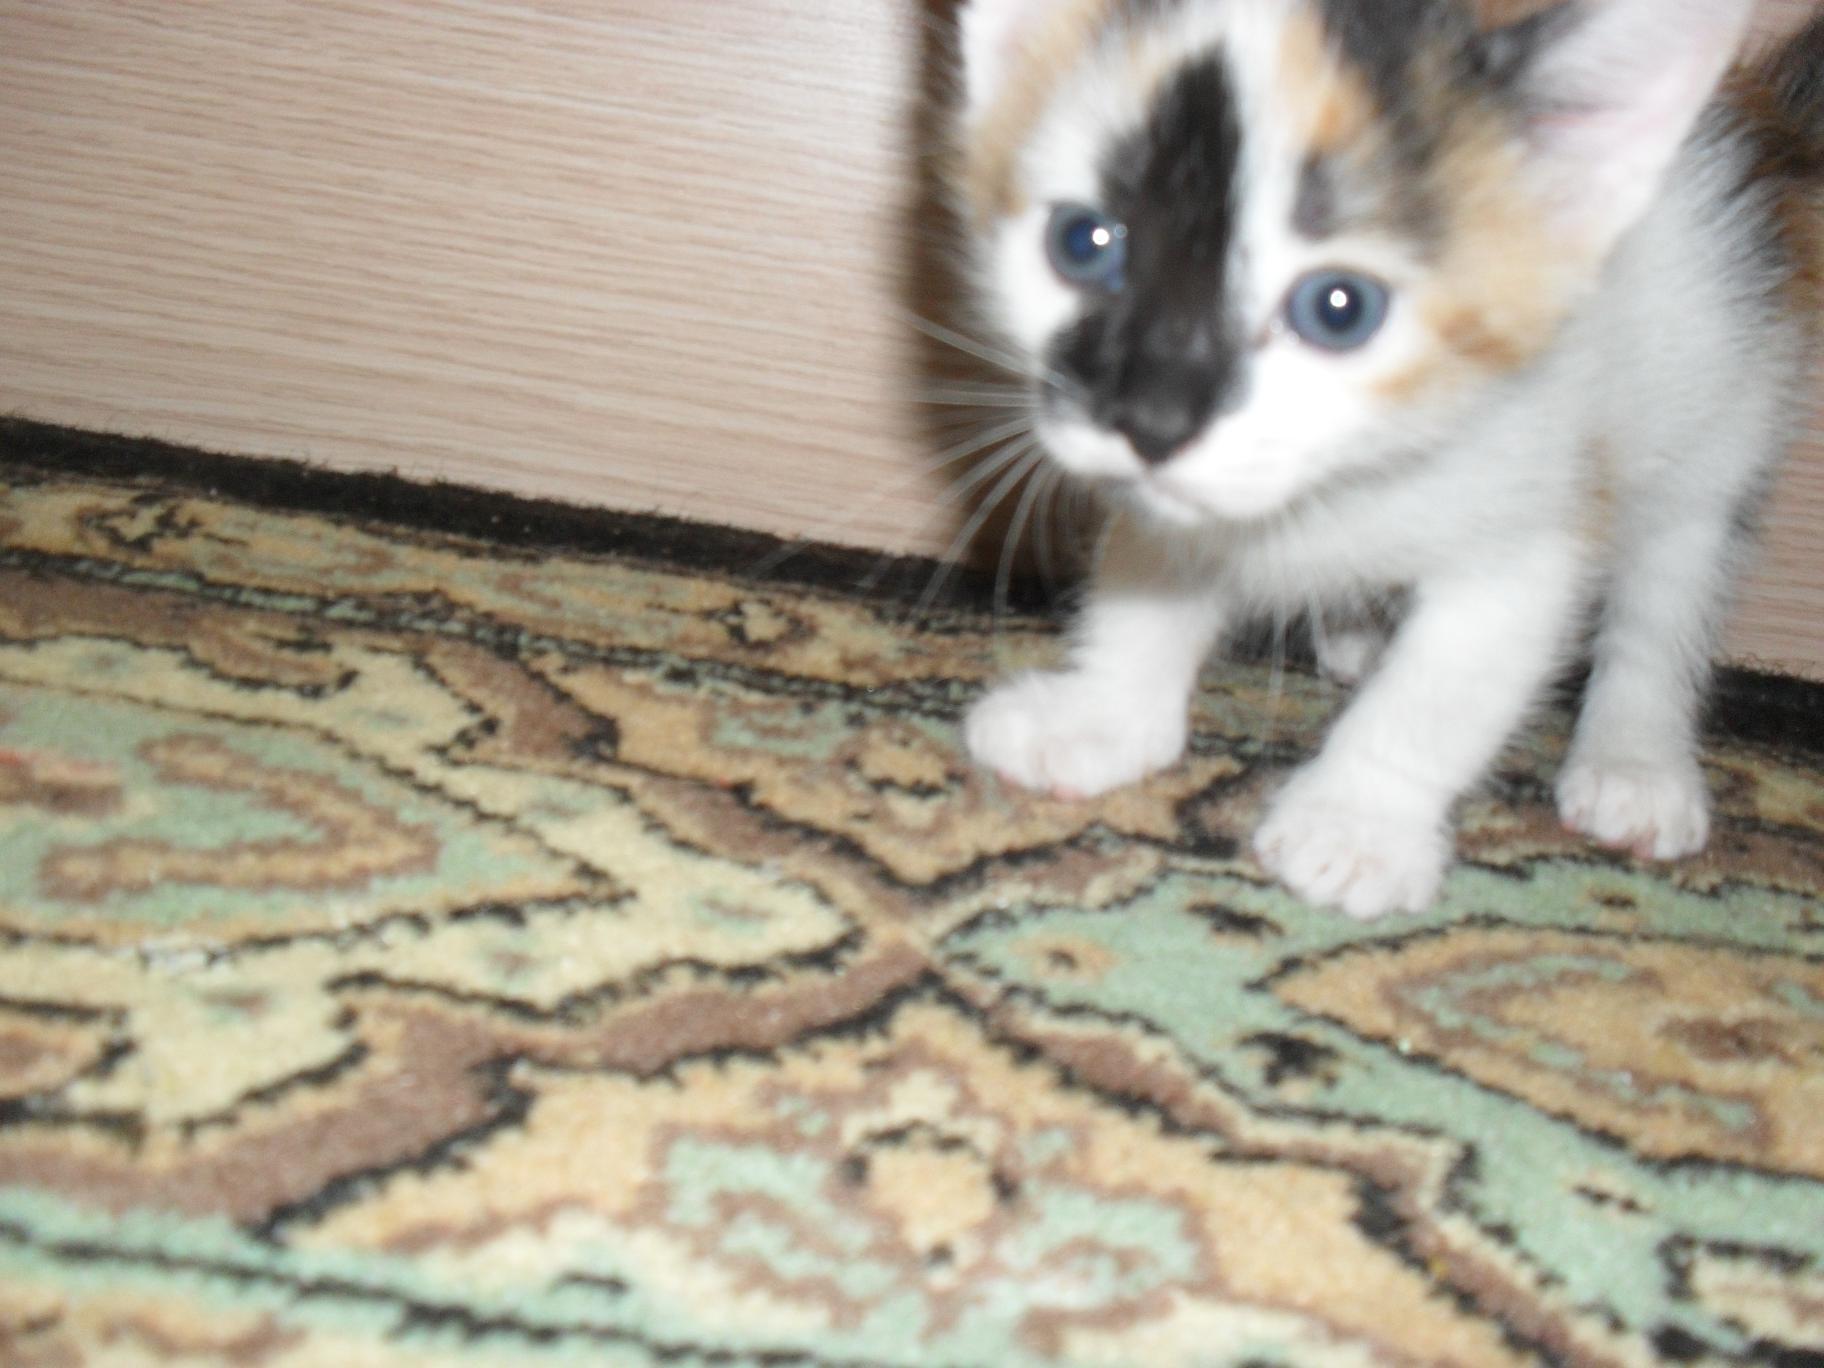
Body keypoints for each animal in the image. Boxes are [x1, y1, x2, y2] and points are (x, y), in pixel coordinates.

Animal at [947, 0, 1823, 918]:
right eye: (1083, 243)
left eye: (1340, 308)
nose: (1152, 420)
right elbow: (1147, 591)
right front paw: (1099, 718)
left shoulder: (1526, 512)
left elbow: (1442, 690)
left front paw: (1354, 824)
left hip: (1726, 405)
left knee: (1670, 587)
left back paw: (1636, 760)